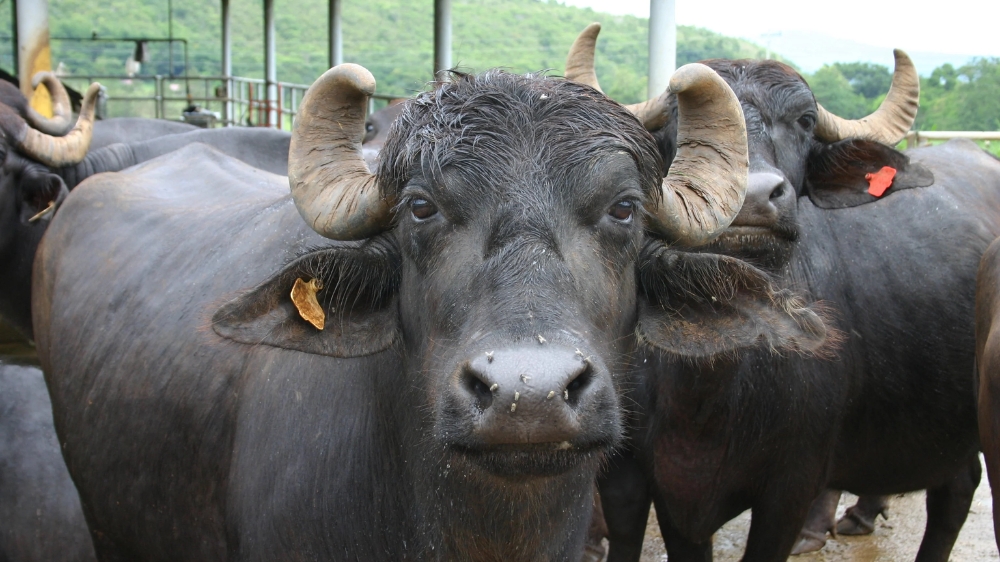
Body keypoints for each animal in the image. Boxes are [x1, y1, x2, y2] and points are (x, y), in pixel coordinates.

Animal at [568, 23, 1000, 560]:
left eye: (805, 121)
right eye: (676, 122)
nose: (753, 197)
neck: (707, 389)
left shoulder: (791, 486)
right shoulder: (647, 486)